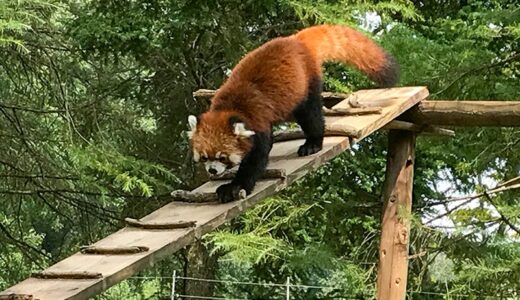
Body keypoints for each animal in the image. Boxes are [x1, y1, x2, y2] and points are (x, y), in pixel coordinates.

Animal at [189, 23, 400, 202]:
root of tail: (296, 40)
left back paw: (312, 143)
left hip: (306, 84)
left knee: (310, 114)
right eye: (204, 157)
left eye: (222, 156)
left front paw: (235, 187)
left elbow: (257, 157)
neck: (230, 108)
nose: (212, 171)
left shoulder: (257, 119)